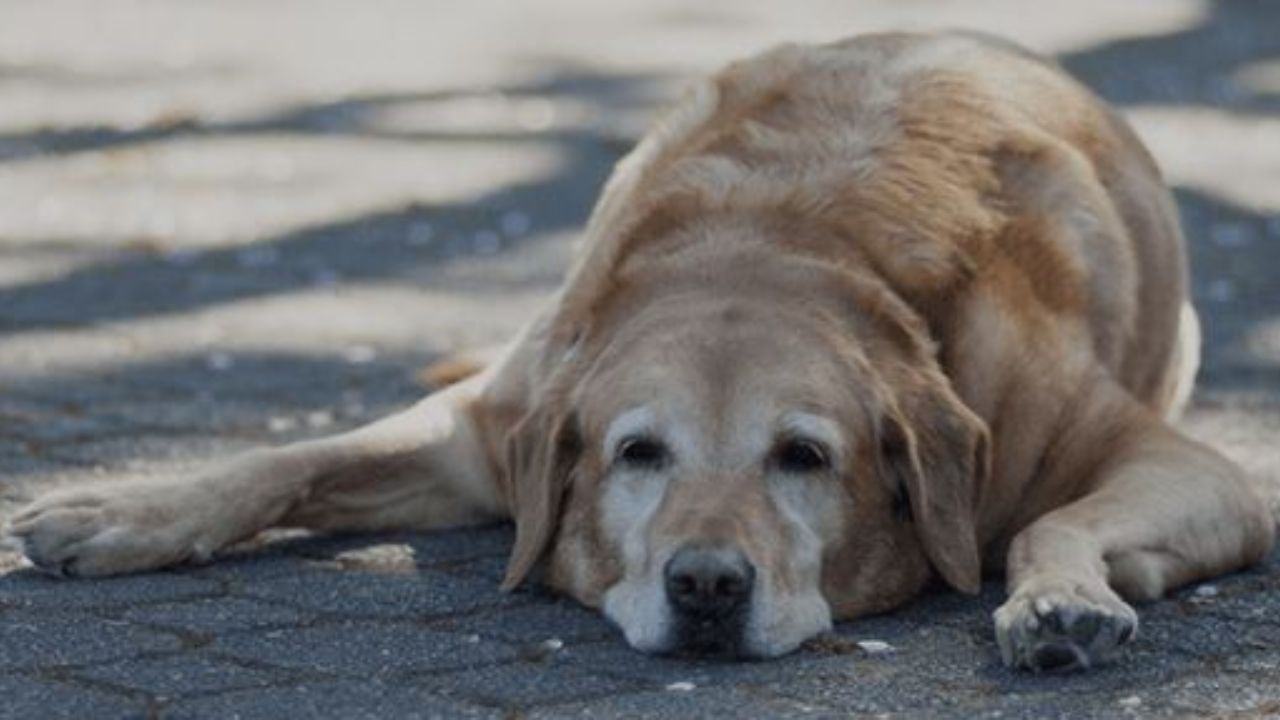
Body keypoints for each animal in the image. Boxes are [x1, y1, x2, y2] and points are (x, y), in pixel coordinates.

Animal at [5, 30, 1274, 671]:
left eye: (803, 457)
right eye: (635, 454)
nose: (705, 586)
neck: (777, 245)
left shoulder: (1190, 467)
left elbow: (1045, 524)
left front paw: (1057, 599)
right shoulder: (489, 427)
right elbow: (287, 460)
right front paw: (128, 507)